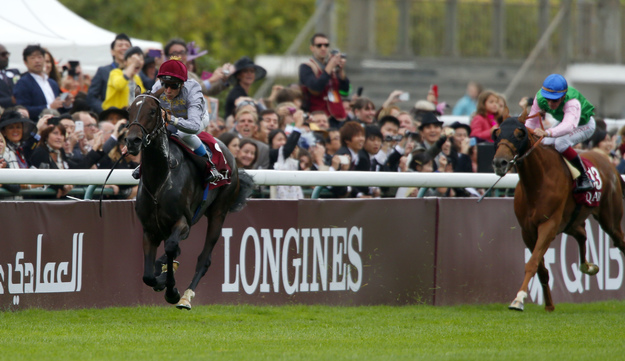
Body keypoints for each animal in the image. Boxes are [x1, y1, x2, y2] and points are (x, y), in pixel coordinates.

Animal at [124, 88, 254, 310]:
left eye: (152, 111)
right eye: (129, 110)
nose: (133, 141)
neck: (160, 178)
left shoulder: (182, 222)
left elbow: (170, 247)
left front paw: (172, 291)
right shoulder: (149, 229)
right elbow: (148, 276)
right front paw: (161, 278)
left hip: (218, 212)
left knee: (203, 258)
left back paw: (185, 297)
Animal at [492, 114, 624, 310]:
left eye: (519, 134)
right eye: (498, 133)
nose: (499, 162)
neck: (538, 181)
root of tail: (611, 166)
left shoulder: (549, 225)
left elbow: (532, 262)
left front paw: (518, 299)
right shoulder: (527, 231)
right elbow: (540, 268)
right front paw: (548, 305)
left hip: (610, 219)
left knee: (619, 240)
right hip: (571, 221)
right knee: (582, 233)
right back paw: (587, 266)